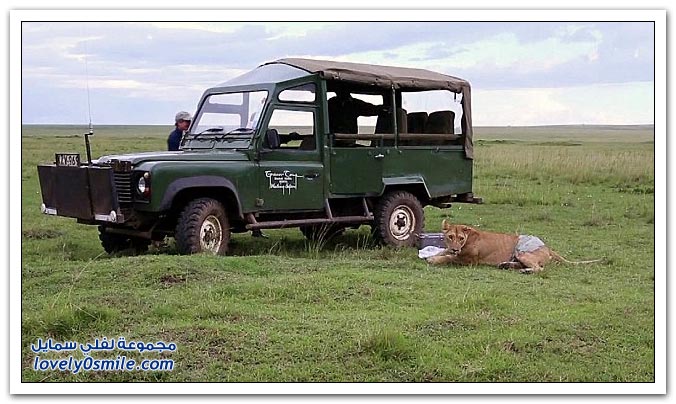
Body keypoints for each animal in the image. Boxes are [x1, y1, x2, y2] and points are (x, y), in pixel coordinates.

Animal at [425, 220, 601, 274]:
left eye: (461, 238)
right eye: (450, 237)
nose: (455, 248)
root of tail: (547, 246)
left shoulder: (469, 262)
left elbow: (448, 258)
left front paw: (433, 260)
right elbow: (444, 252)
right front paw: (431, 255)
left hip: (522, 251)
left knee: (539, 268)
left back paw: (525, 271)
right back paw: (506, 265)